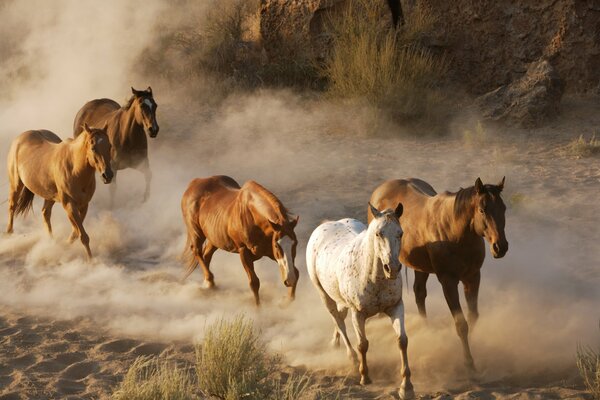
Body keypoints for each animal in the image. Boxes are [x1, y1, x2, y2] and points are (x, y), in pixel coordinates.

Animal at [6, 122, 113, 260]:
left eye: (109, 146)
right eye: (93, 148)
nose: (108, 175)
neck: (74, 169)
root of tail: (20, 138)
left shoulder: (84, 205)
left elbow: (76, 233)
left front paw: (64, 246)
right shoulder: (69, 205)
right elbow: (83, 235)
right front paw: (91, 261)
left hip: (49, 195)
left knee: (45, 213)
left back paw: (51, 242)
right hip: (16, 185)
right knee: (12, 207)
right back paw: (9, 235)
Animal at [179, 176, 298, 306]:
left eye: (295, 244)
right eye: (277, 245)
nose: (289, 280)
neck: (252, 216)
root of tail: (194, 183)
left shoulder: (270, 252)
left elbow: (296, 272)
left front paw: (286, 301)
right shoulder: (244, 251)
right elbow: (254, 282)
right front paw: (258, 309)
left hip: (214, 238)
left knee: (206, 255)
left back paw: (208, 284)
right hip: (196, 232)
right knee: (197, 251)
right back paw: (209, 281)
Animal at [308, 205, 414, 398]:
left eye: (400, 233)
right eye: (378, 233)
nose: (392, 268)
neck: (373, 277)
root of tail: (325, 225)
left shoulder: (396, 307)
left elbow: (402, 341)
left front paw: (406, 387)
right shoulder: (358, 314)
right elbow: (363, 344)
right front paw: (365, 377)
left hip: (340, 300)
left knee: (340, 318)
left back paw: (334, 343)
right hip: (324, 295)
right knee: (339, 322)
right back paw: (352, 358)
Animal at [368, 178, 508, 372]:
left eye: (504, 209)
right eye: (482, 210)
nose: (500, 247)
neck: (456, 233)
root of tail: (380, 190)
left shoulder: (472, 277)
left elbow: (473, 317)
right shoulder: (448, 282)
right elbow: (461, 324)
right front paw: (468, 362)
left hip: (420, 268)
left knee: (419, 293)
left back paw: (426, 329)